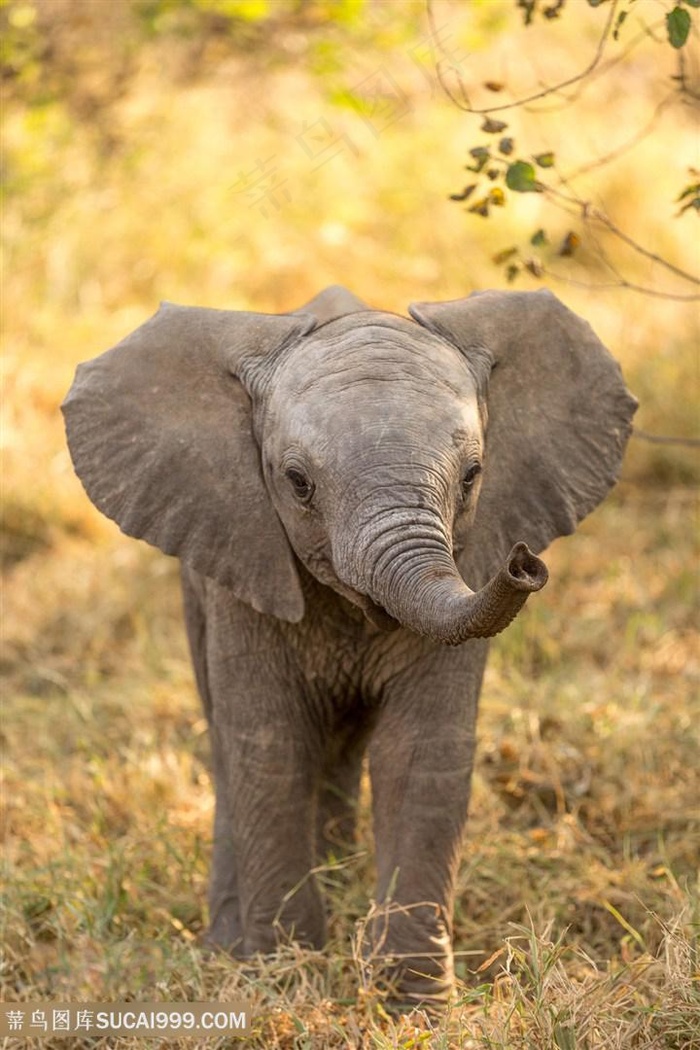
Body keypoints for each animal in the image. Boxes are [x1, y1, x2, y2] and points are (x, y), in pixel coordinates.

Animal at [62, 287, 638, 1007]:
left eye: (473, 475)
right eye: (297, 482)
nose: (523, 564)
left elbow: (418, 753)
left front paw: (411, 1005)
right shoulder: (242, 576)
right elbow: (270, 746)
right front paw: (284, 981)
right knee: (233, 740)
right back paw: (230, 944)